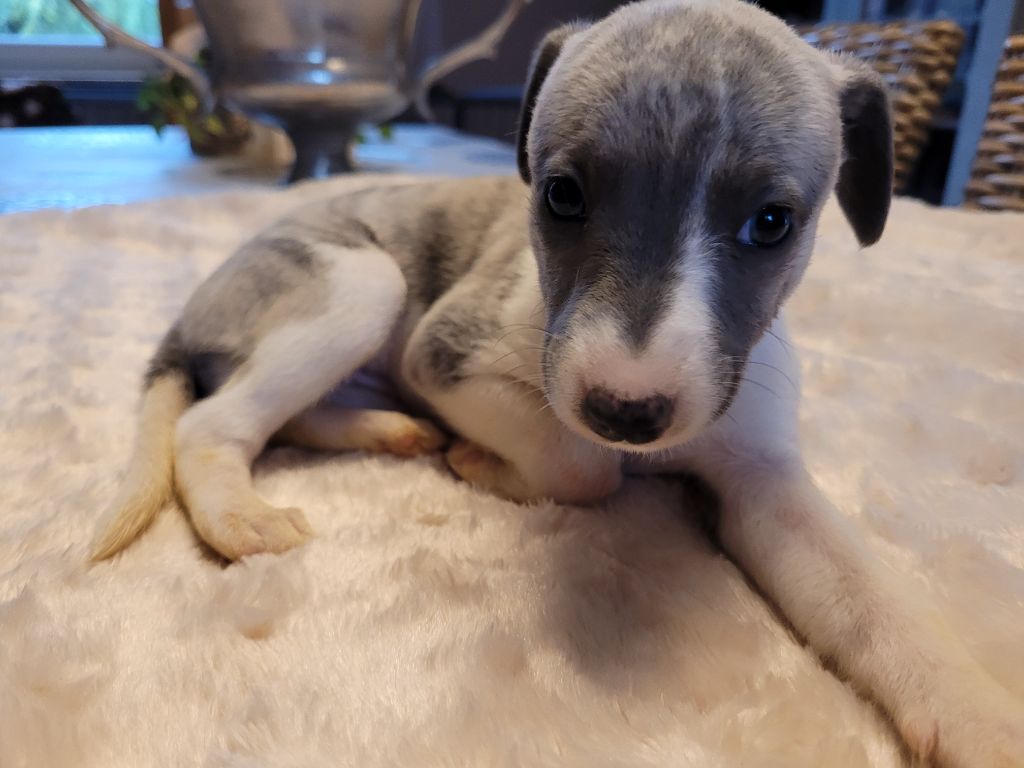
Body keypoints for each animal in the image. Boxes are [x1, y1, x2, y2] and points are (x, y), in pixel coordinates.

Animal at [92, 1, 1024, 764]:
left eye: (772, 223)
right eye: (561, 195)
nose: (629, 411)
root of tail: (198, 304)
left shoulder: (765, 480)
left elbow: (874, 604)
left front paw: (979, 717)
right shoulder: (445, 354)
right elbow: (582, 465)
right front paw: (487, 462)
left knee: (290, 416)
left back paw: (391, 431)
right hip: (362, 286)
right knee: (213, 423)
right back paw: (244, 517)